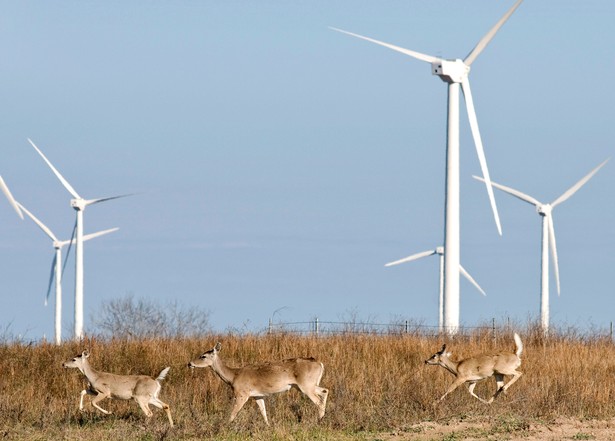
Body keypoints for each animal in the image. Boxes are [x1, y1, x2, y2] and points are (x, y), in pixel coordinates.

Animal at [188, 340, 330, 422]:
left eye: (203, 356)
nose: (189, 363)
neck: (233, 376)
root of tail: (320, 363)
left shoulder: (242, 394)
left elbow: (233, 413)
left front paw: (225, 427)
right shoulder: (258, 395)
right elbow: (263, 412)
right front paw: (268, 426)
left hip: (306, 385)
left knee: (318, 401)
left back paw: (319, 421)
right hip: (306, 385)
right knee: (325, 390)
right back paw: (321, 419)